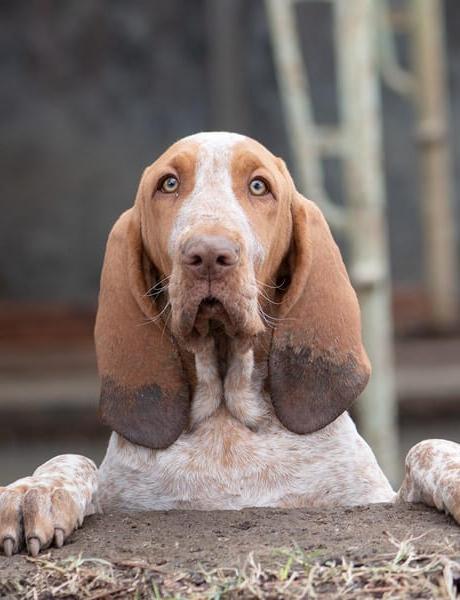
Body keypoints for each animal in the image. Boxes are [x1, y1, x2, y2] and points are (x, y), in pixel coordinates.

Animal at [0, 132, 460, 556]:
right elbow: (70, 460)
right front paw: (33, 491)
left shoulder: (375, 496)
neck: (227, 414)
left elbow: (426, 447)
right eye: (169, 184)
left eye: (258, 186)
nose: (208, 254)